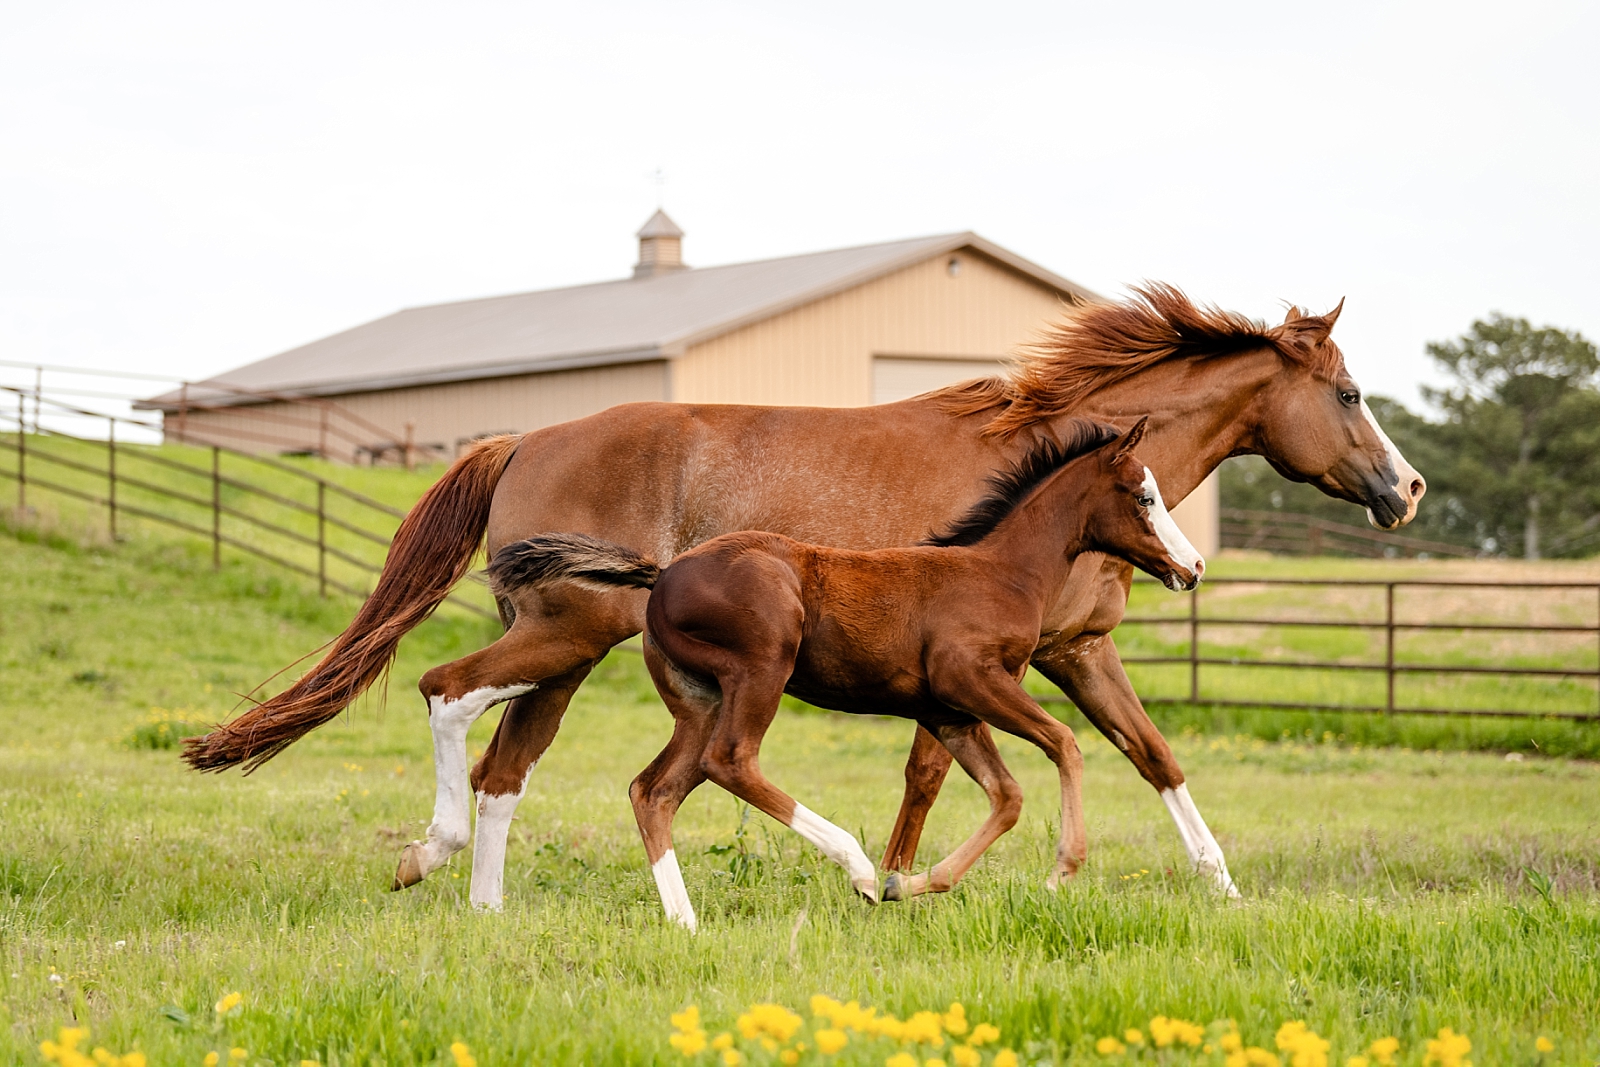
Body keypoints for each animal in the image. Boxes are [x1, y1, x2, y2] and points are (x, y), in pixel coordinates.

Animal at [486, 415, 1203, 927]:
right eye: (1144, 497)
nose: (1193, 567)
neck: (1002, 573)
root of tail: (662, 574)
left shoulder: (950, 710)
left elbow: (1007, 795)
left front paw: (909, 883)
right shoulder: (972, 681)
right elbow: (1066, 744)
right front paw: (1061, 872)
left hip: (699, 701)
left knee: (654, 789)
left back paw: (685, 918)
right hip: (762, 669)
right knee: (731, 761)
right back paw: (852, 867)